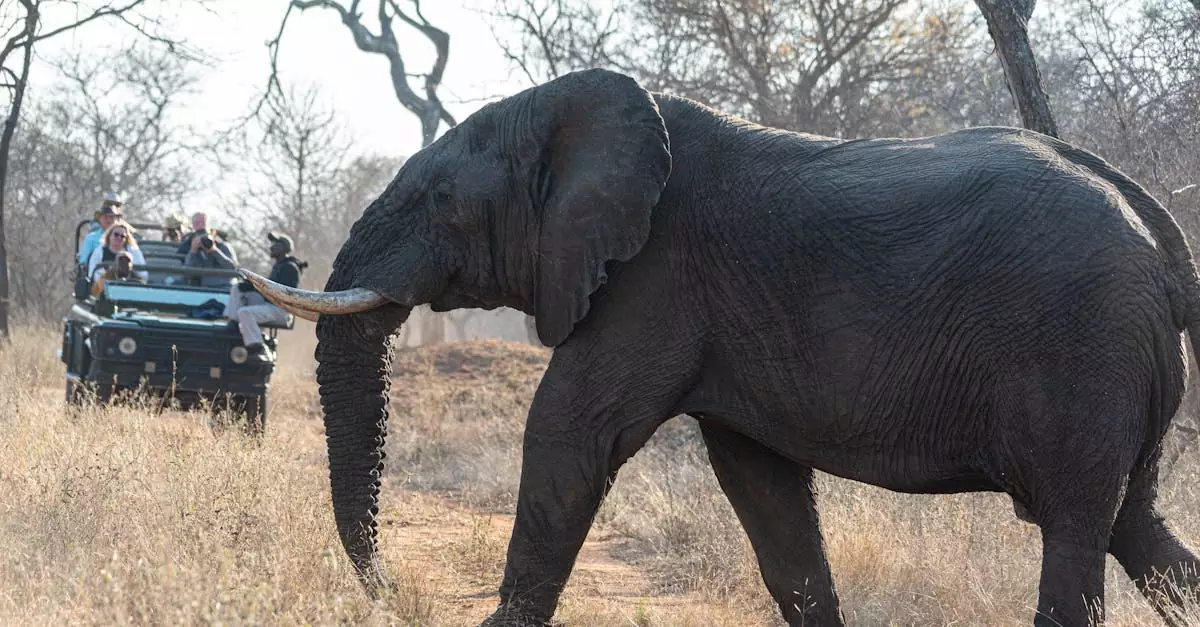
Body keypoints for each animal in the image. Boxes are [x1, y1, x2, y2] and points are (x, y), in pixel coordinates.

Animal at [241, 68, 1200, 626]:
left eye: (441, 201)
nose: (389, 592)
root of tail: (1159, 232)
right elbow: (763, 489)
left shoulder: (652, 278)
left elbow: (568, 436)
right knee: (1134, 524)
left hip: (1083, 349)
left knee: (1075, 527)